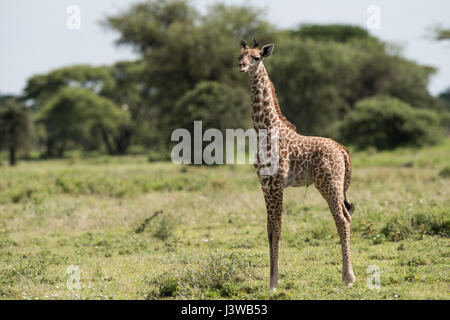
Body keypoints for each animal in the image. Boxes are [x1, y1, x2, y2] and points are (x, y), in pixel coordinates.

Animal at [237, 40, 356, 290]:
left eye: (256, 58)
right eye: (239, 56)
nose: (241, 67)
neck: (265, 128)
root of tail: (342, 150)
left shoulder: (276, 183)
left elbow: (277, 229)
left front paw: (274, 282)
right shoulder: (264, 184)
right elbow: (269, 230)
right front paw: (272, 279)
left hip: (329, 183)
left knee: (342, 220)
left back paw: (348, 277)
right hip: (334, 185)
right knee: (346, 216)